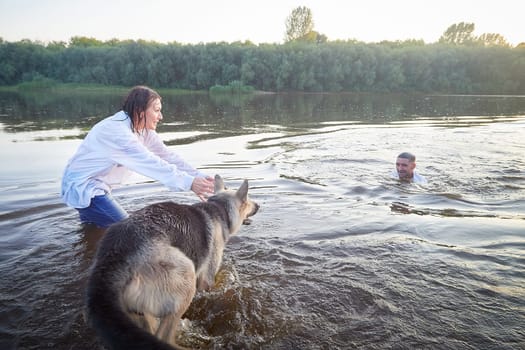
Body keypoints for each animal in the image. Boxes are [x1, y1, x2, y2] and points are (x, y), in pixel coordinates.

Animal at [85, 175, 258, 350]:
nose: (258, 206)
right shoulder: (207, 279)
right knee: (164, 336)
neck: (219, 208)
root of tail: (112, 259)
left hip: (138, 314)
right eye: (249, 201)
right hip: (186, 277)